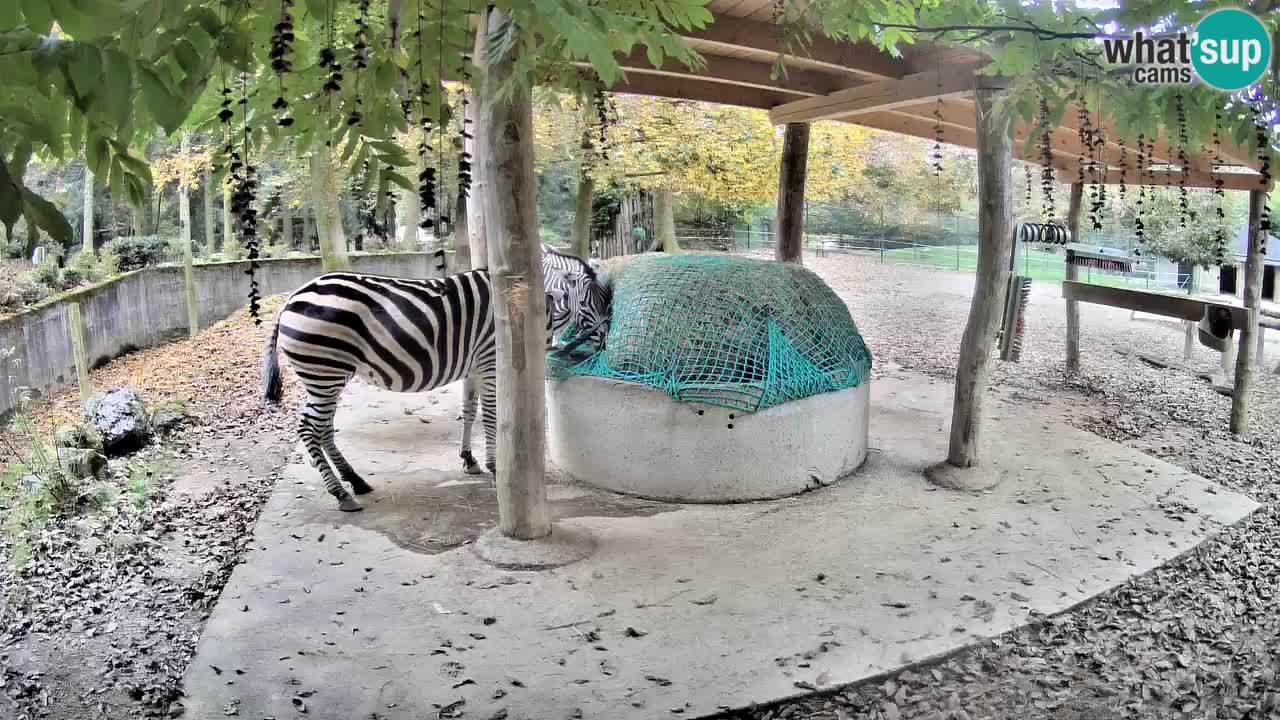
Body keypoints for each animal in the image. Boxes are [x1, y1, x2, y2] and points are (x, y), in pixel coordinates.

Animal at [259, 263, 599, 509]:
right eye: (594, 302)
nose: (602, 343)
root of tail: (291, 298)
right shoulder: (490, 361)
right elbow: (490, 417)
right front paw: (494, 466)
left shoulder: (474, 366)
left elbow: (469, 411)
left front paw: (469, 459)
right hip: (325, 372)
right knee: (308, 428)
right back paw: (341, 494)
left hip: (328, 377)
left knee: (324, 428)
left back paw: (354, 480)